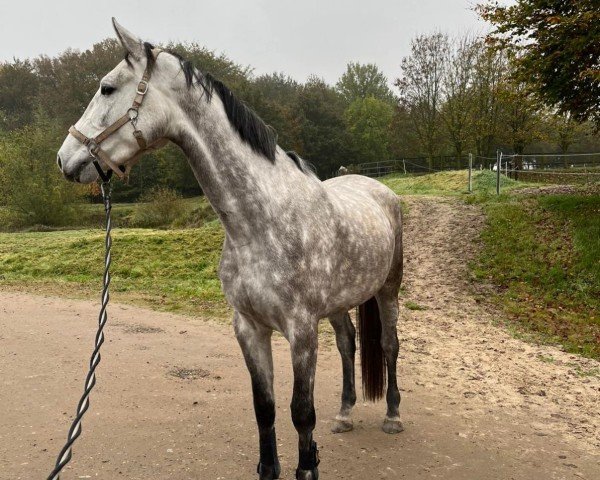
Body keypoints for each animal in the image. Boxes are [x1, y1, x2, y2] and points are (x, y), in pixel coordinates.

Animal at [57, 19, 404, 480]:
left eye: (107, 88)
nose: (65, 158)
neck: (261, 223)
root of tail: (378, 187)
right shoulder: (248, 327)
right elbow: (265, 408)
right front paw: (270, 468)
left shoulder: (301, 330)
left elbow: (301, 414)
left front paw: (307, 467)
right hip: (338, 304)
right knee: (349, 344)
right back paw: (345, 414)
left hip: (387, 291)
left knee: (388, 345)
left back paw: (393, 416)